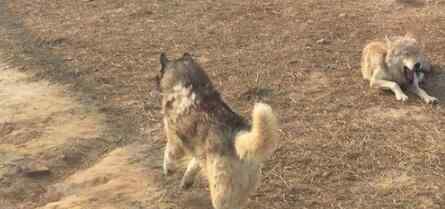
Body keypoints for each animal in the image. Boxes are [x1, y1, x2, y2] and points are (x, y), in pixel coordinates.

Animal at [156, 52, 278, 209]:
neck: (190, 83)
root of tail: (237, 137)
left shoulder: (174, 138)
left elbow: (169, 154)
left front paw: (168, 170)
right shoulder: (200, 151)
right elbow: (193, 164)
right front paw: (187, 180)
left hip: (220, 194)